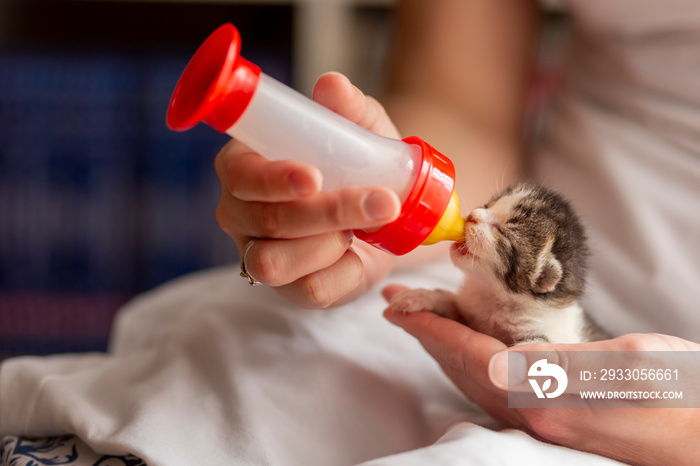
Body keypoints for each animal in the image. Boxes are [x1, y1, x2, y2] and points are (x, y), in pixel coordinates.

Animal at [388, 182, 608, 346]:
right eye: (488, 205)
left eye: (501, 231)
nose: (472, 216)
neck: (495, 296)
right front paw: (422, 296)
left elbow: (538, 345)